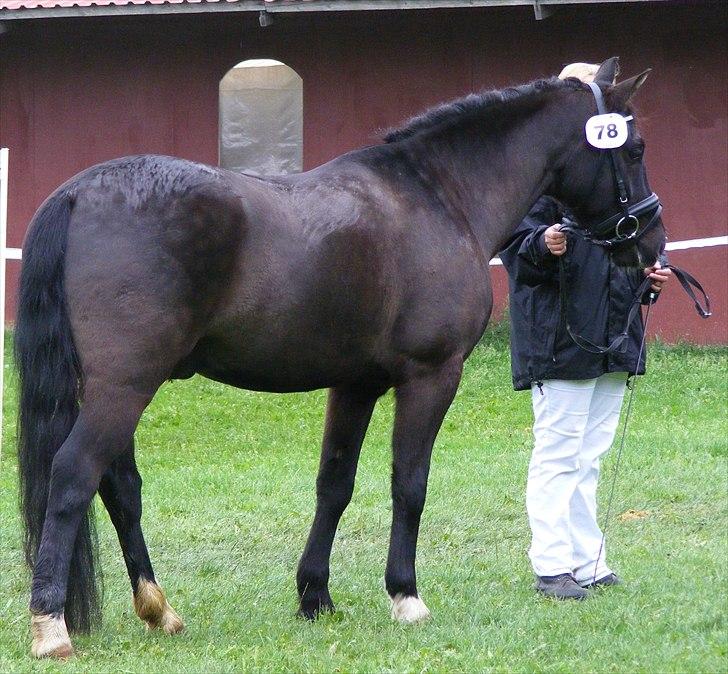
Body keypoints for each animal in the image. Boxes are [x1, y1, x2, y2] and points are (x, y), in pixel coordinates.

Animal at [17, 59, 664, 656]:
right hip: (125, 385)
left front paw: (315, 596)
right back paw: (51, 626)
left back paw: (159, 609)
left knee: (120, 484)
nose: (650, 245)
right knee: (74, 474)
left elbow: (335, 484)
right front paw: (405, 595)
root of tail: (77, 193)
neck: (439, 196)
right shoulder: (431, 376)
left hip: (112, 387)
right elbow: (410, 482)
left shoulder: (355, 384)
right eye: (633, 149)